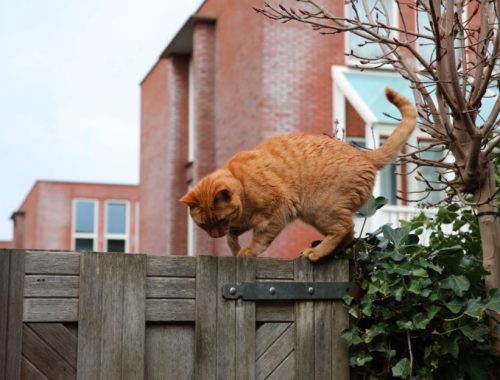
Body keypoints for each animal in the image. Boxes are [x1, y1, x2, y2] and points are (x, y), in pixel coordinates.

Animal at [179, 87, 414, 262]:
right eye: (204, 225)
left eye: (219, 219)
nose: (214, 235)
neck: (242, 186)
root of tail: (365, 156)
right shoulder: (242, 222)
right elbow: (231, 237)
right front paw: (234, 247)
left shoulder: (278, 210)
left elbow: (260, 238)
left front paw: (248, 251)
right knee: (349, 235)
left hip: (319, 208)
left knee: (344, 228)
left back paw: (315, 253)